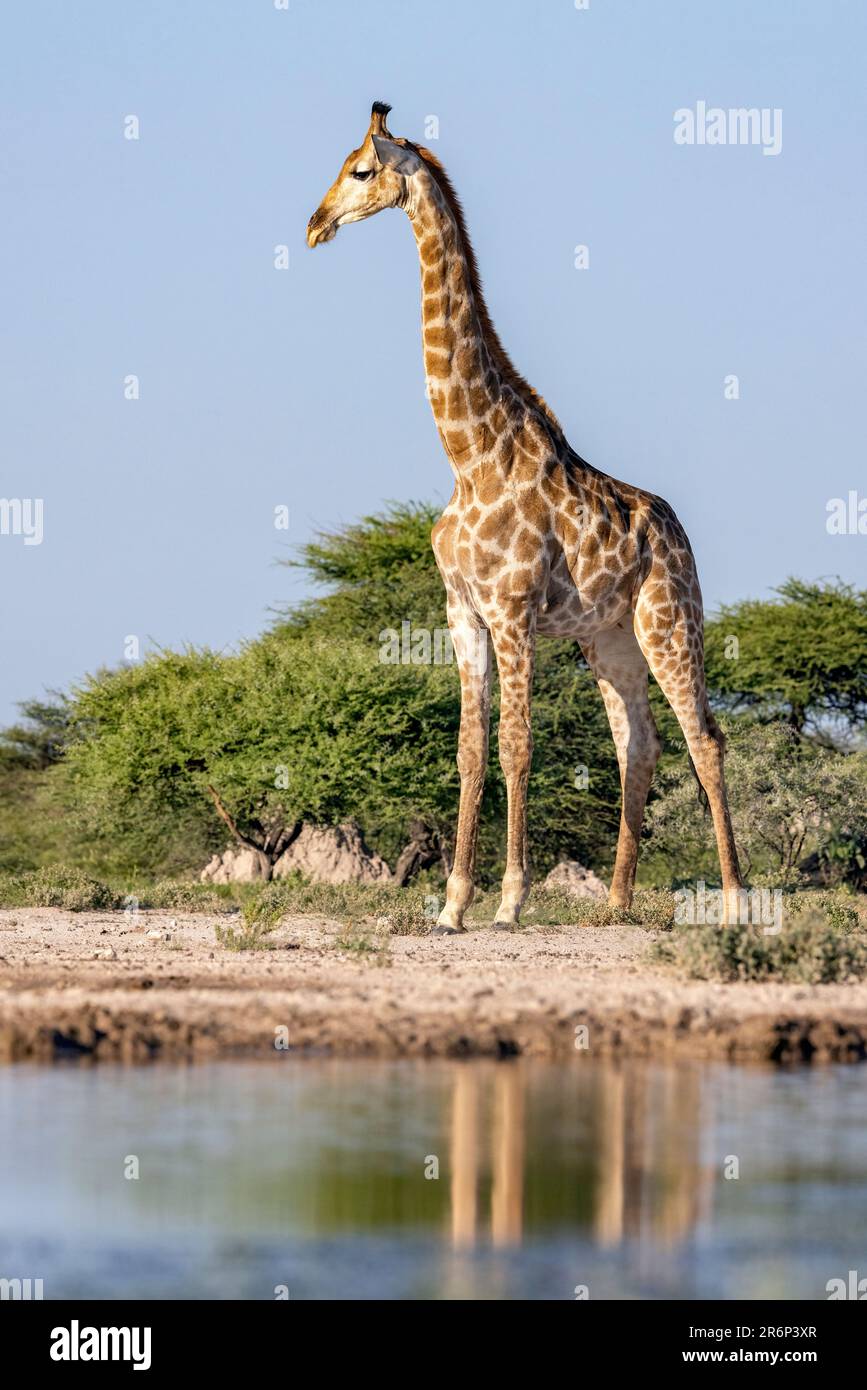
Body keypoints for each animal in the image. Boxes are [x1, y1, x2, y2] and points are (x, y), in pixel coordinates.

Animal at [308, 102, 739, 934]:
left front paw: (508, 900)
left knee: (703, 736)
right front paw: (451, 904)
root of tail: (678, 533)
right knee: (637, 745)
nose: (314, 226)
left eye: (361, 171)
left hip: (669, 619)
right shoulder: (461, 610)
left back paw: (735, 901)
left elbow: (517, 745)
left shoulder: (511, 611)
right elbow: (470, 750)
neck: (470, 455)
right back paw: (616, 900)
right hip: (608, 638)